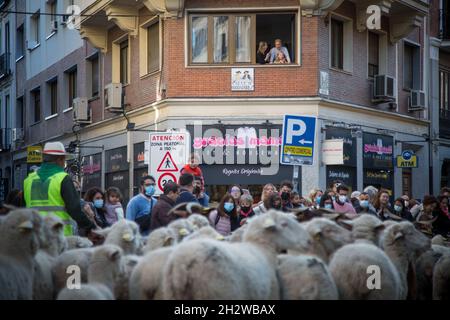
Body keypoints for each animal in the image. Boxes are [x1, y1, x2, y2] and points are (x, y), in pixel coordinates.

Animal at [162, 210, 312, 300]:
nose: (309, 241)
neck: (261, 249)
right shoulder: (271, 293)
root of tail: (181, 266)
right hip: (217, 292)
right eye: (284, 224)